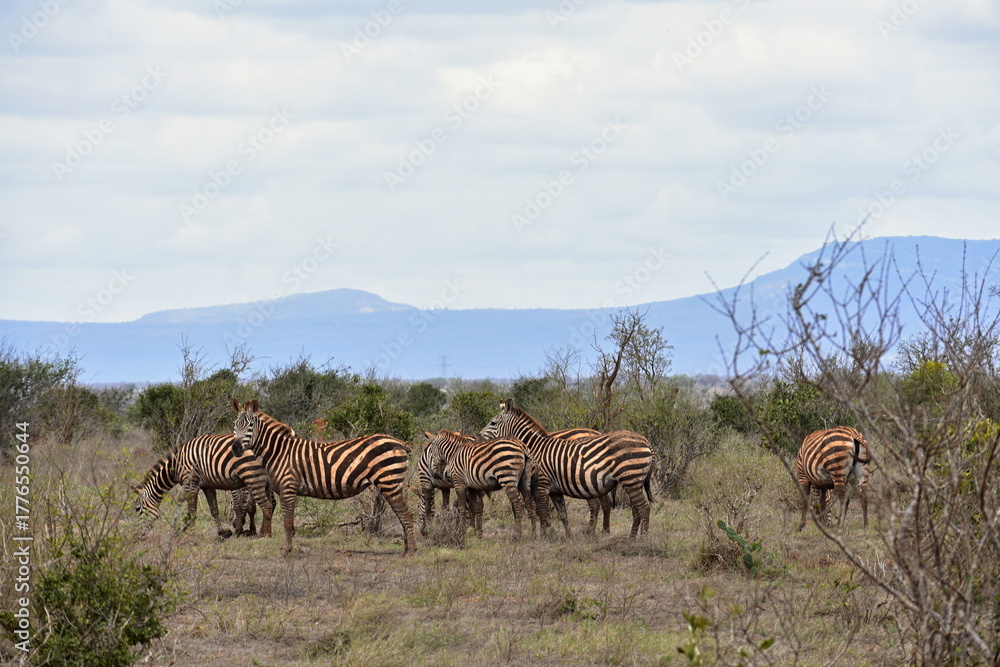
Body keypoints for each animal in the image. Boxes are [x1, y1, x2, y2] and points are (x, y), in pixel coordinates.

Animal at [131, 434, 274, 539]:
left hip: (252, 478)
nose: (138, 535)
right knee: (269, 504)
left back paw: (265, 535)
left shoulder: (191, 484)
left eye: (137, 509)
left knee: (266, 506)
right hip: (265, 482)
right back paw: (258, 531)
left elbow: (192, 511)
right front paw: (223, 533)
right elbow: (214, 510)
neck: (176, 466)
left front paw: (191, 533)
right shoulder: (207, 486)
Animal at [231, 398, 416, 555]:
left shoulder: (288, 487)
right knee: (403, 514)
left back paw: (411, 552)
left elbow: (287, 522)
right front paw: (288, 547)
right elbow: (289, 523)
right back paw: (406, 549)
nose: (235, 448)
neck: (279, 452)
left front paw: (287, 550)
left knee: (406, 514)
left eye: (250, 425)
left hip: (389, 482)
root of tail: (400, 442)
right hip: (390, 483)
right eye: (235, 424)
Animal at [479, 399, 654, 538]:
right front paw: (568, 536)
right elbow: (563, 514)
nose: (478, 437)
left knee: (643, 507)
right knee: (635, 509)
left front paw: (542, 537)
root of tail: (646, 440)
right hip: (632, 481)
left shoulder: (541, 484)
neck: (534, 448)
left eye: (493, 423)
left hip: (629, 479)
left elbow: (542, 511)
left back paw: (643, 538)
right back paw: (631, 537)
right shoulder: (555, 490)